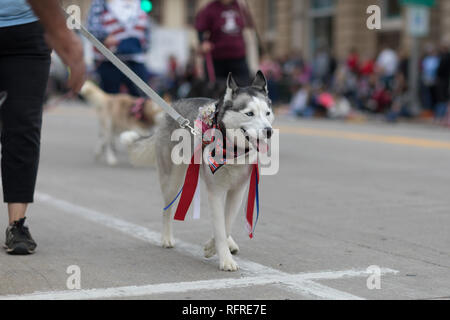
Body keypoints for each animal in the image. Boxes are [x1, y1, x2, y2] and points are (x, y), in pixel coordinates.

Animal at [120, 71, 274, 272]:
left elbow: (227, 223)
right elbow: (220, 227)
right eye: (249, 113)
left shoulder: (237, 191)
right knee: (167, 210)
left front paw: (214, 247)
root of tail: (174, 106)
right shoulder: (215, 191)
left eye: (267, 113)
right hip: (173, 180)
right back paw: (166, 238)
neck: (232, 151)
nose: (269, 131)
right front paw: (224, 259)